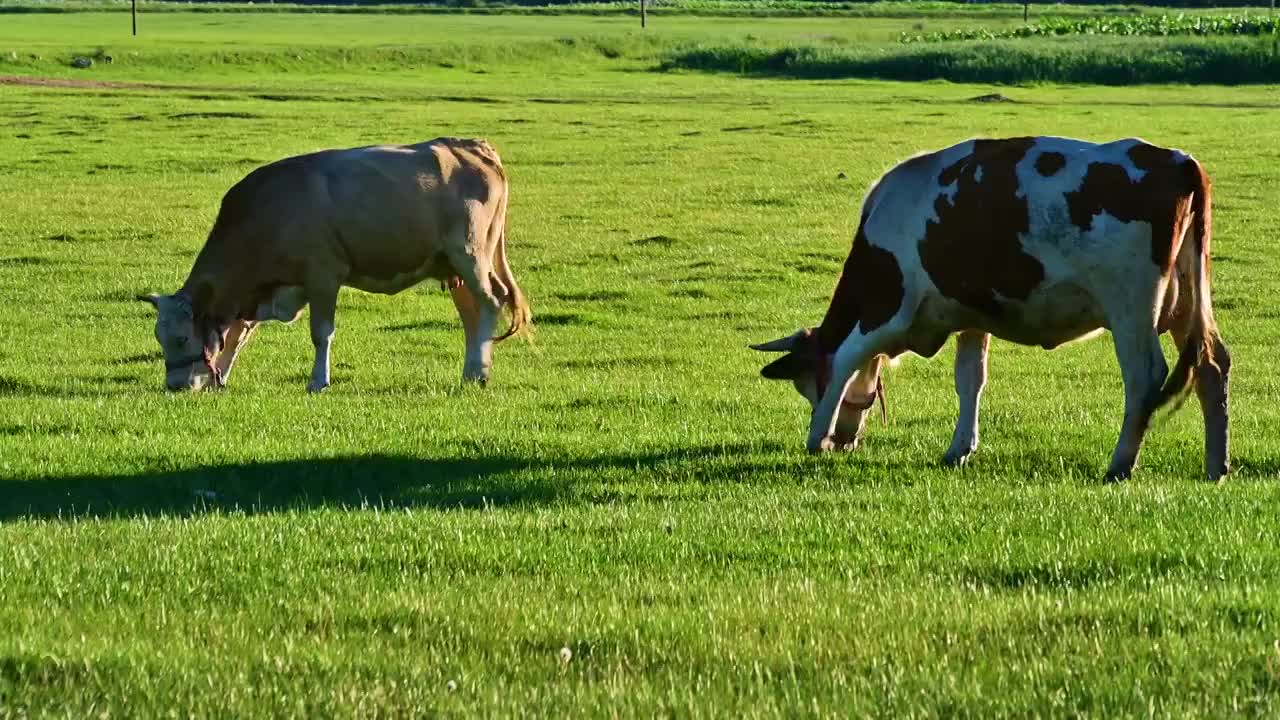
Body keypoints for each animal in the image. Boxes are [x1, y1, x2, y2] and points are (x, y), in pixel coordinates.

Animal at [144, 134, 529, 392]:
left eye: (181, 337)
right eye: (159, 337)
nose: (174, 386)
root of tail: (472, 146)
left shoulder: (323, 277)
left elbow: (321, 334)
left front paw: (318, 381)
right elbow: (238, 334)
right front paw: (220, 376)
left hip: (470, 254)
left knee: (491, 300)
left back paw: (479, 371)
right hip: (452, 265)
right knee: (471, 313)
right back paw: (471, 371)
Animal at [752, 136, 1233, 479]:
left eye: (805, 386)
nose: (843, 441)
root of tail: (1179, 163)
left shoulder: (888, 312)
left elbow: (845, 359)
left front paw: (816, 435)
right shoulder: (971, 319)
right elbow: (970, 380)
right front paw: (959, 448)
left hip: (1131, 309)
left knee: (1144, 377)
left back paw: (1119, 464)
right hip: (1186, 304)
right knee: (1212, 366)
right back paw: (1216, 466)